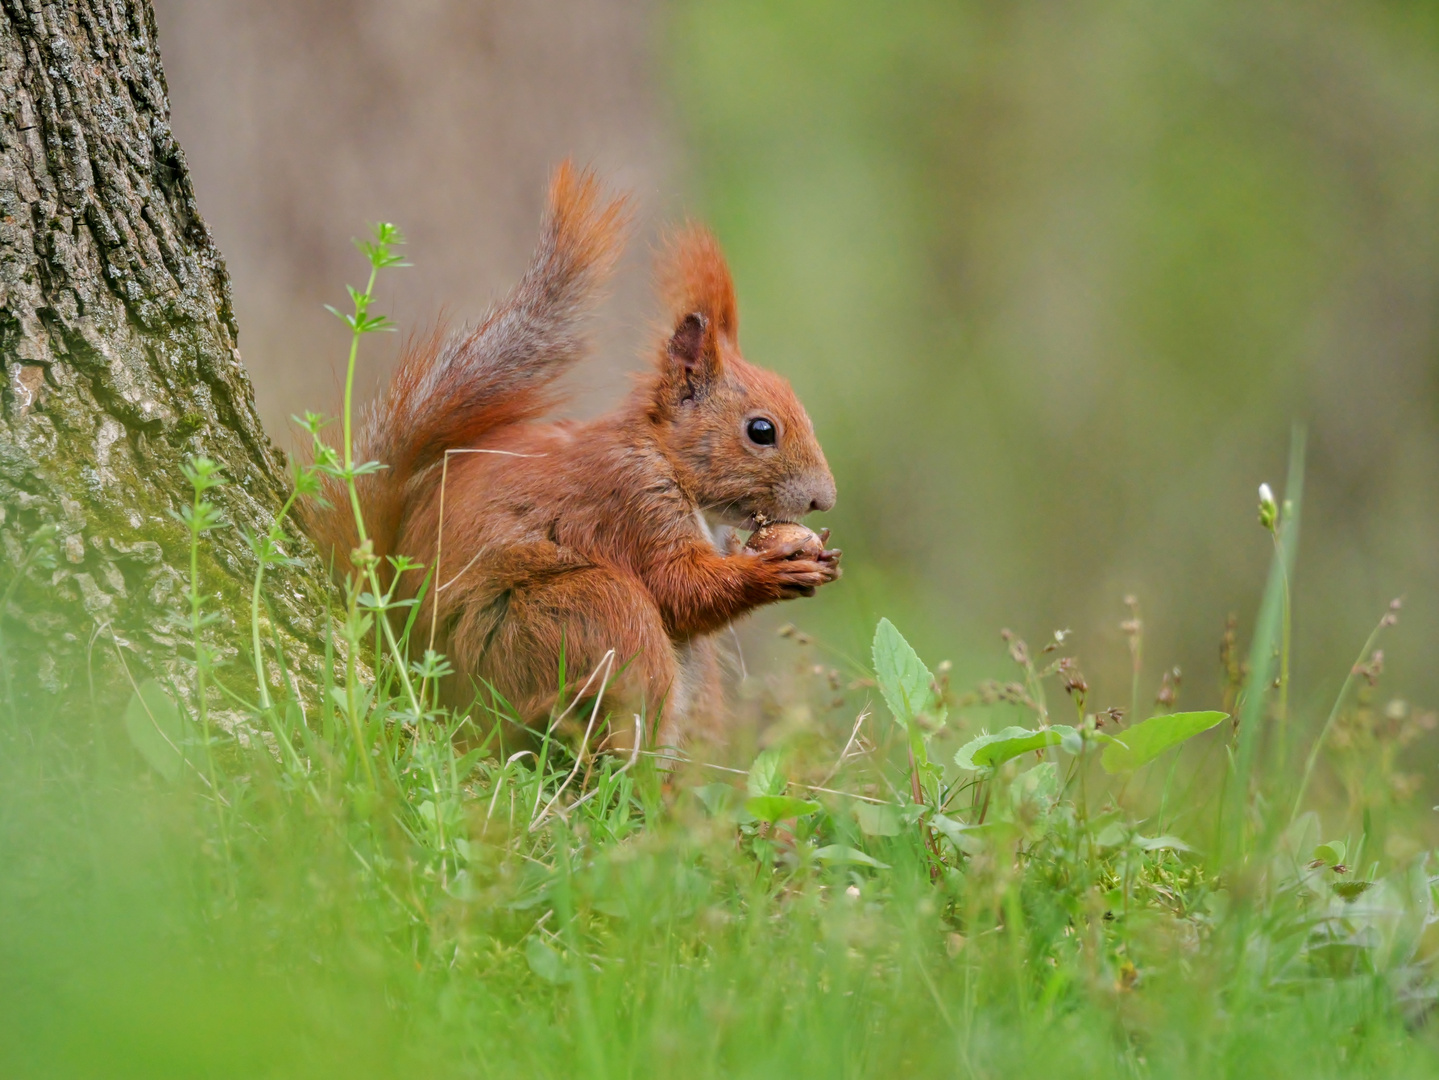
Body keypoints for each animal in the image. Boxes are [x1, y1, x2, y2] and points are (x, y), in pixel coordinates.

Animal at [309, 164, 840, 747]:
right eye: (761, 430)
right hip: (581, 611)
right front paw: (772, 572)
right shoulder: (630, 504)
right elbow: (680, 588)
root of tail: (406, 650)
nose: (824, 499)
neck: (662, 457)